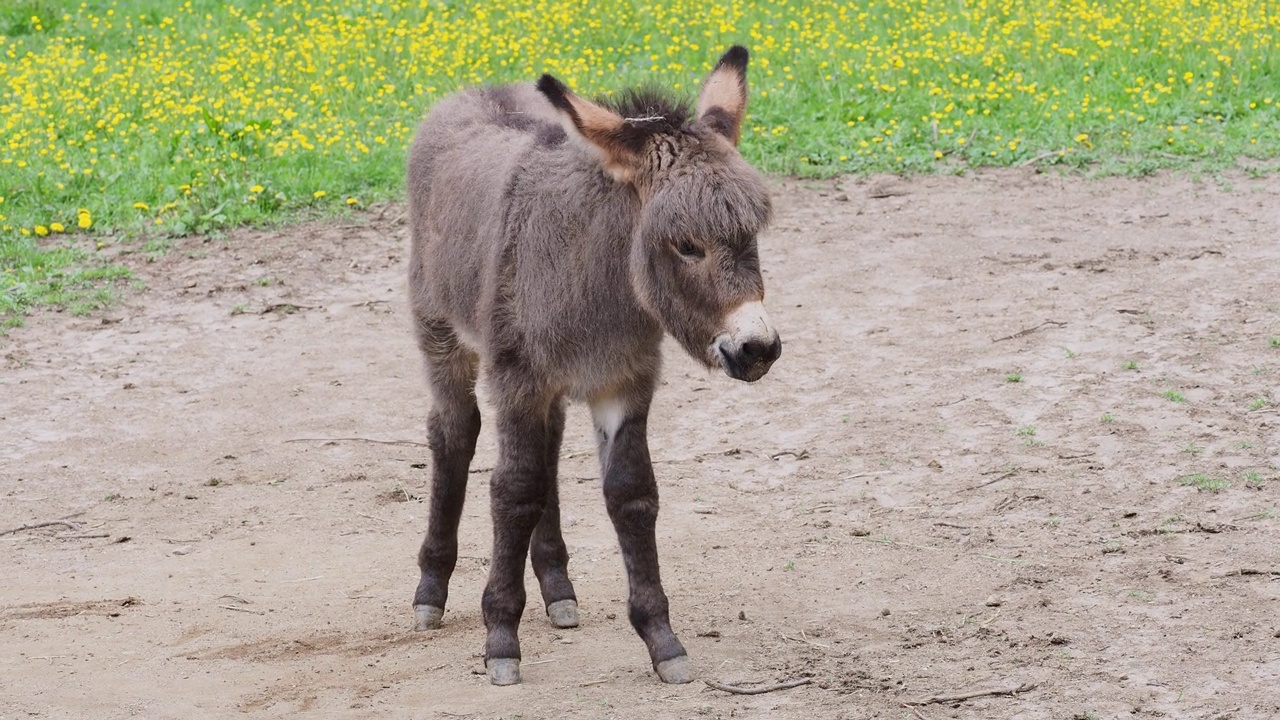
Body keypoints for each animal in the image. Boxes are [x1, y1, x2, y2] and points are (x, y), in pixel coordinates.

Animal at [404, 44, 778, 681]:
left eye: (750, 234)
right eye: (686, 246)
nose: (758, 349)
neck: (602, 279)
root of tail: (474, 90)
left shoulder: (624, 380)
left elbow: (632, 494)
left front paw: (662, 639)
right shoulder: (518, 379)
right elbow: (513, 491)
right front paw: (501, 639)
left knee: (549, 448)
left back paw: (558, 588)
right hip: (442, 335)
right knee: (454, 433)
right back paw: (432, 589)